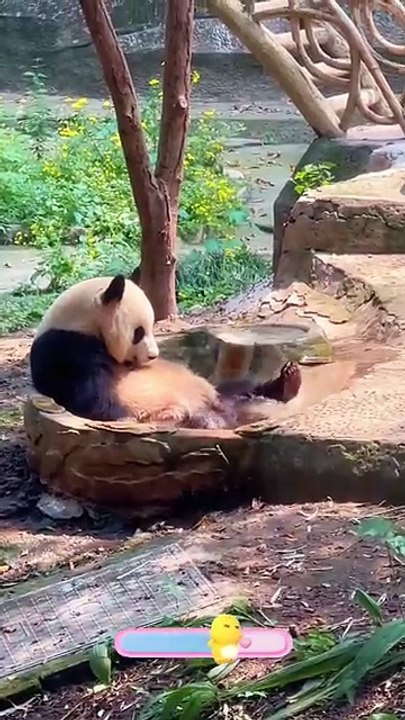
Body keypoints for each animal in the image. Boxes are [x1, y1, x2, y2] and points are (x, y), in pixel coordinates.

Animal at [29, 274, 302, 429]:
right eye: (139, 332)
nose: (153, 356)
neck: (85, 324)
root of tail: (225, 412)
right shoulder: (65, 349)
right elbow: (89, 393)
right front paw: (124, 418)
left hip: (212, 390)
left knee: (236, 387)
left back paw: (286, 381)